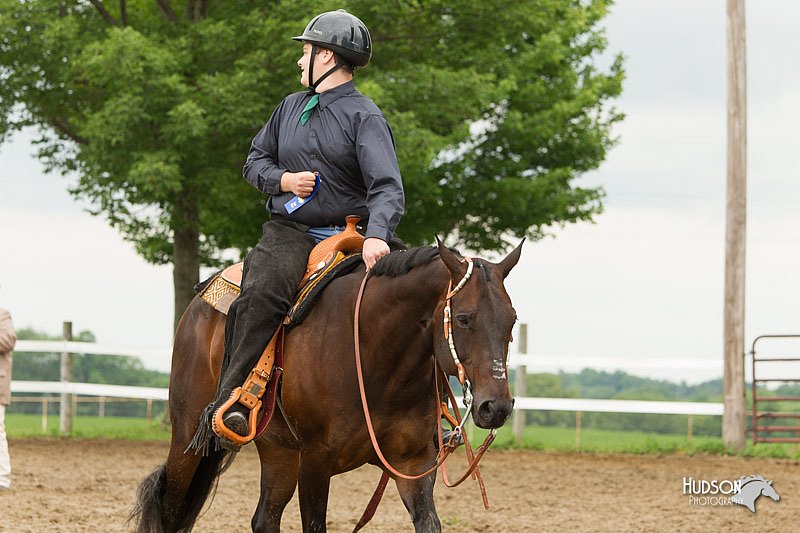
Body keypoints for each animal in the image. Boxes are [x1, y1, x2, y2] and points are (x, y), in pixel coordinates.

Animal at [129, 239, 520, 528]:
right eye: (464, 318)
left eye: (513, 320)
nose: (496, 407)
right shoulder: (316, 462)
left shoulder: (413, 464)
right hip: (186, 439)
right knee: (171, 510)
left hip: (279, 452)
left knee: (264, 518)